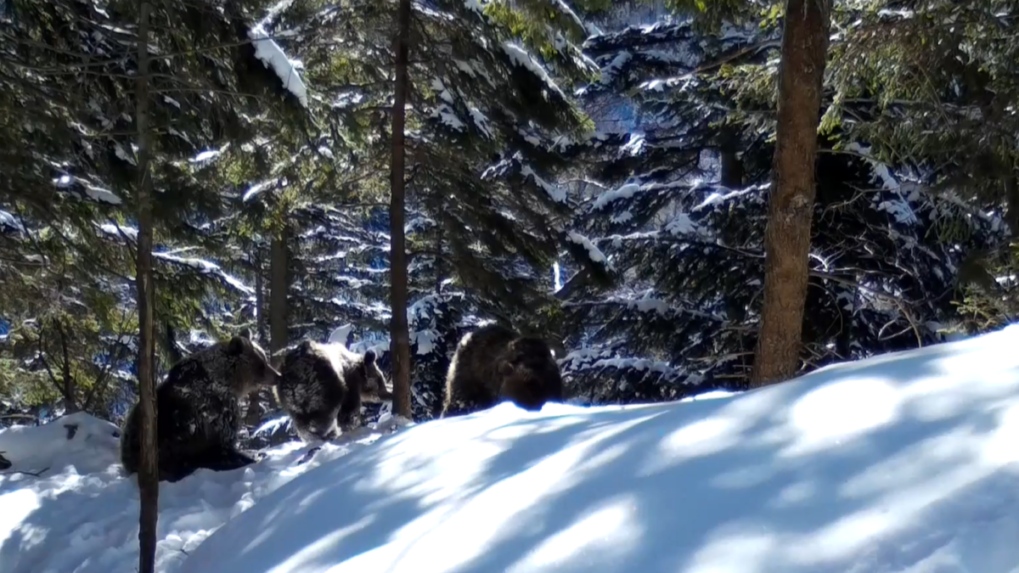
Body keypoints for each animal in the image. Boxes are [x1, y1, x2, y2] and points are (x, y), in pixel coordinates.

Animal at [120, 332, 283, 479]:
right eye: (261, 364)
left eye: (264, 358)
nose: (278, 376)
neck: (227, 380)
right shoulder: (217, 411)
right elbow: (224, 443)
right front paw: (251, 457)